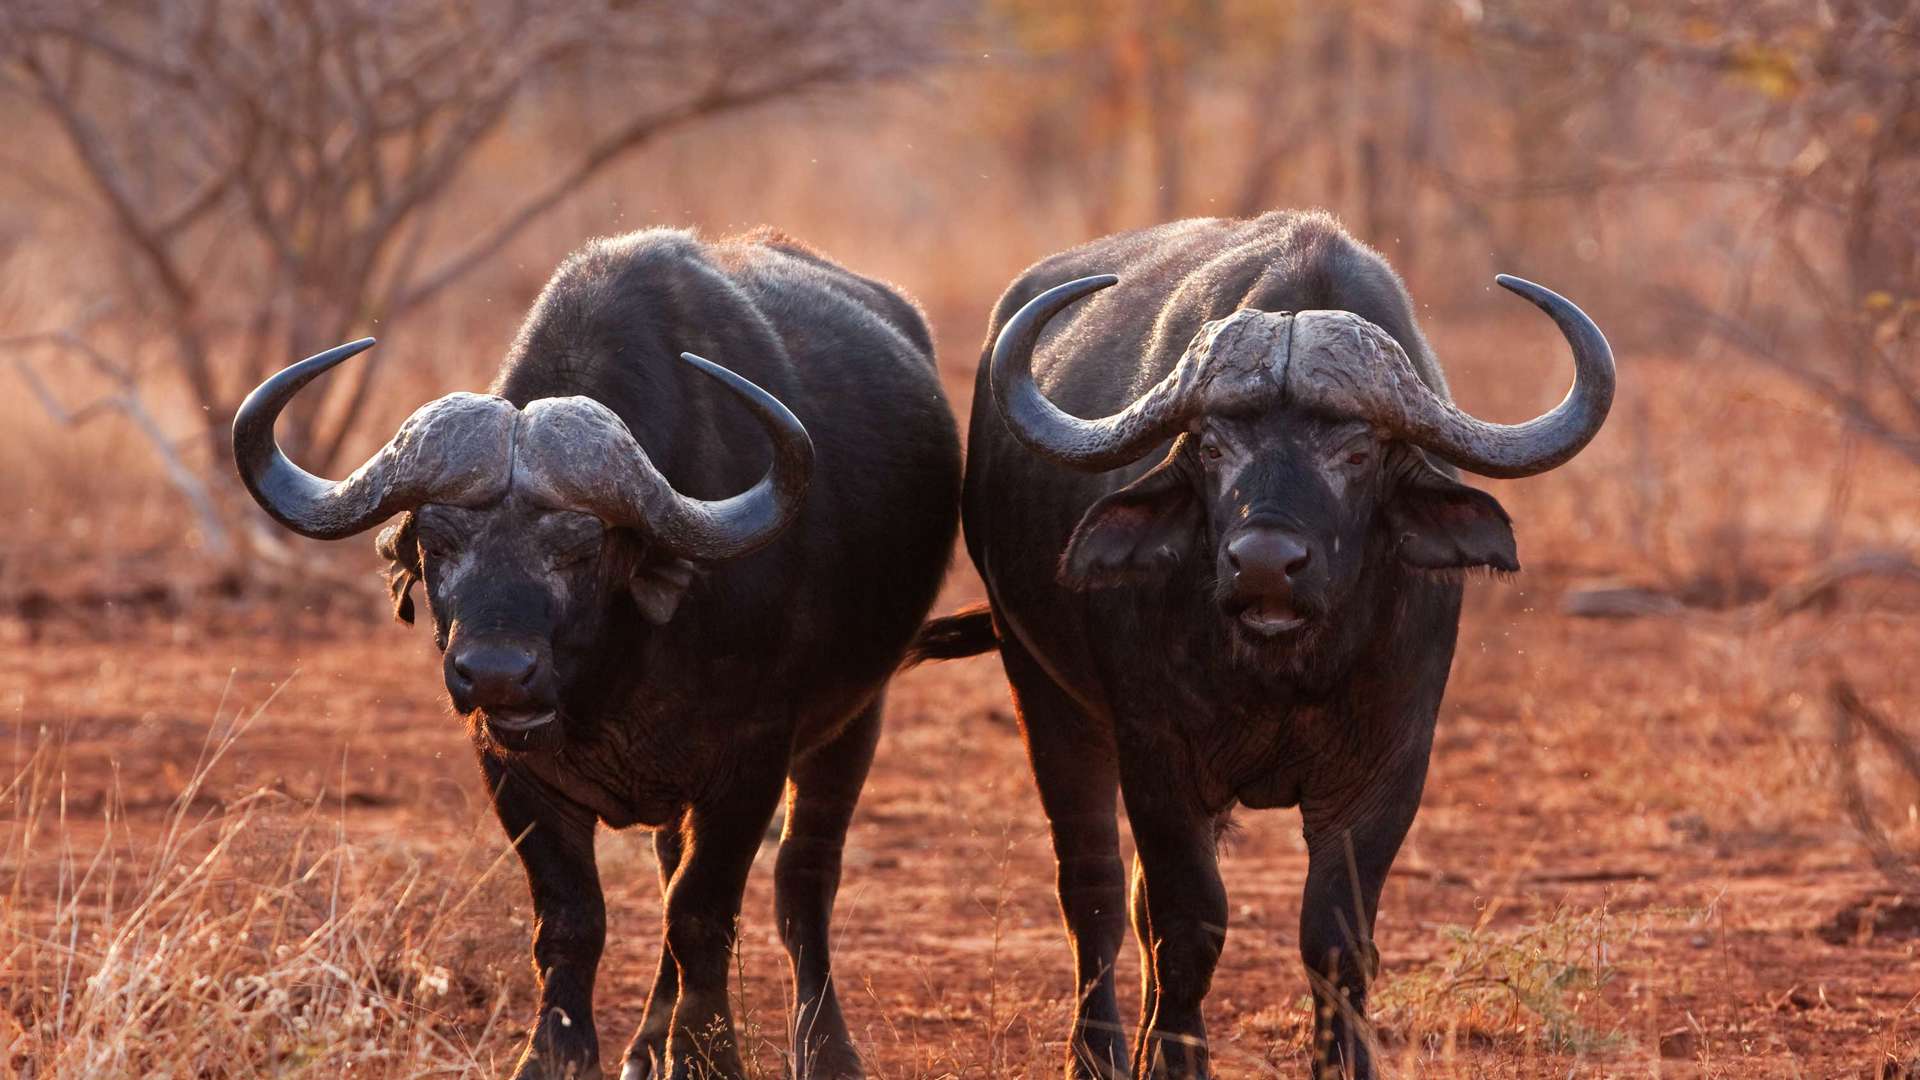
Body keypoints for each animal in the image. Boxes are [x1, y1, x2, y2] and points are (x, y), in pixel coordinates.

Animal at [236, 228, 960, 1076]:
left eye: (579, 548)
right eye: (439, 541)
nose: (495, 672)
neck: (616, 673)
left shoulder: (750, 761)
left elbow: (702, 915)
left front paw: (706, 1056)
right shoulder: (510, 765)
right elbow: (573, 915)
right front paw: (556, 1051)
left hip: (857, 719)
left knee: (803, 879)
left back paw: (823, 1048)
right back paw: (645, 1045)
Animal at [913, 212, 1605, 1076]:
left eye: (1358, 451)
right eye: (1212, 447)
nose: (1266, 563)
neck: (1284, 670)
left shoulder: (1388, 766)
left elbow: (1336, 938)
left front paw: (1344, 1060)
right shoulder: (1158, 758)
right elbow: (1188, 925)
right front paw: (1175, 1061)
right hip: (1039, 688)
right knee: (1095, 888)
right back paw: (1099, 1052)